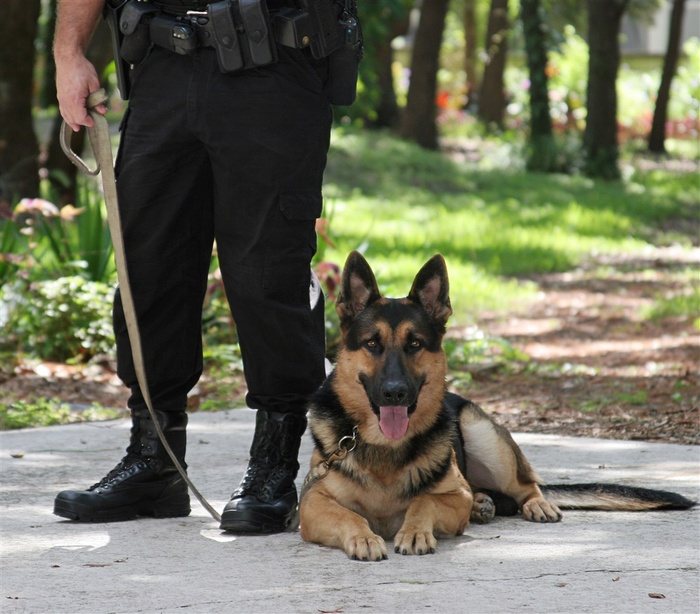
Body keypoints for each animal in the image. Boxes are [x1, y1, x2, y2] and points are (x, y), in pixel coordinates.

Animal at [298, 251, 696, 564]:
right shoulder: (312, 503)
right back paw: (483, 504)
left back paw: (533, 504)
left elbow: (422, 502)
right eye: (372, 344)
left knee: (526, 485)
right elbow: (350, 517)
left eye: (415, 344)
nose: (395, 393)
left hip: (483, 433)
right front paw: (364, 536)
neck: (384, 448)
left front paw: (414, 531)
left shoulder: (453, 496)